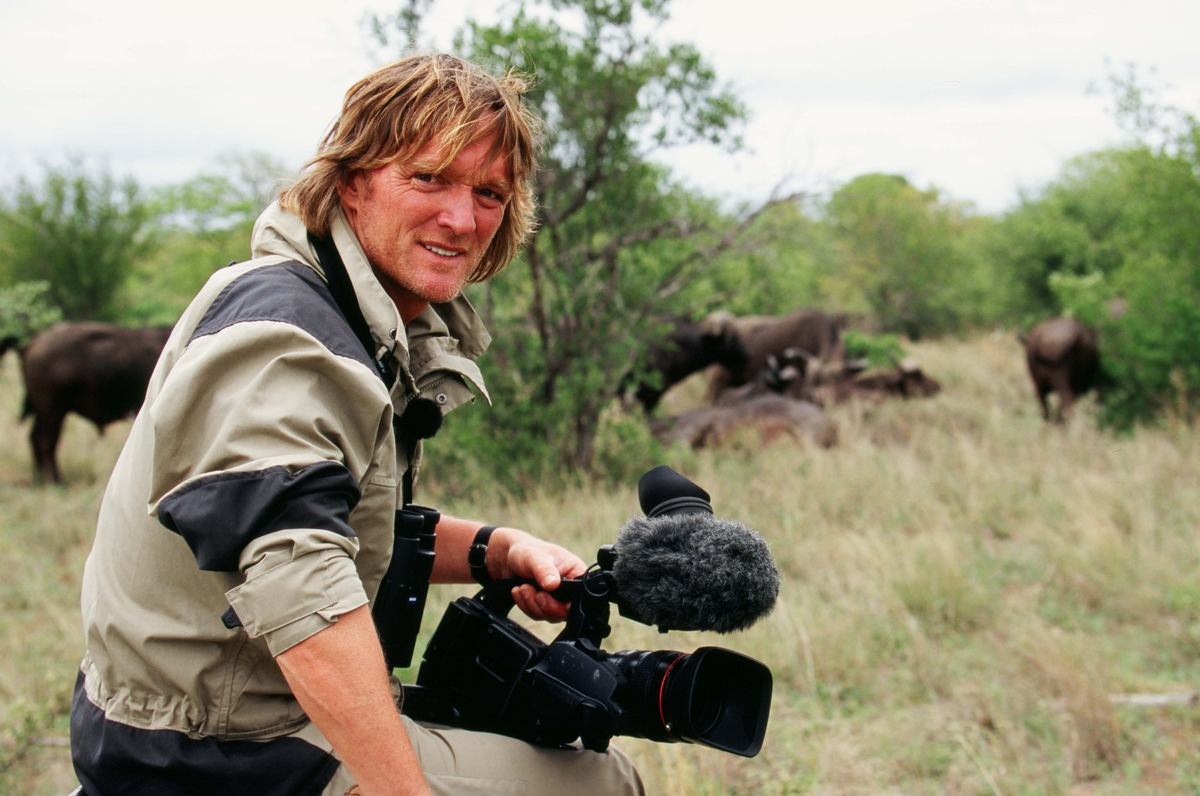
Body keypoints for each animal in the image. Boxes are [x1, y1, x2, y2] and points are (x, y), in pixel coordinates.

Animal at [20, 321, 174, 482]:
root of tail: (34, 343)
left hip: (44, 413)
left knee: (36, 438)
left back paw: (40, 477)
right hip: (52, 411)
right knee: (46, 441)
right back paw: (55, 480)